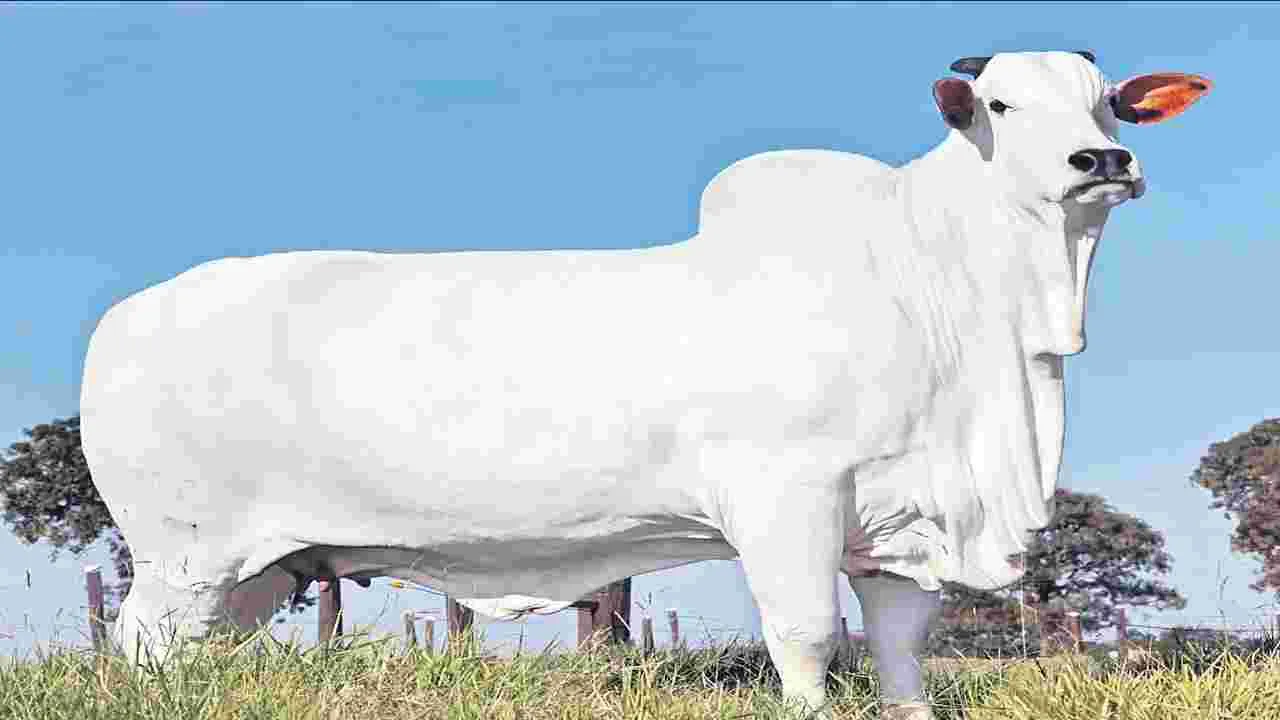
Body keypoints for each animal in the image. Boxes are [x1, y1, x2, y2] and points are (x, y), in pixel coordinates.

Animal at [79, 51, 1211, 719]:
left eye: (1109, 104)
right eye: (1000, 103)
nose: (1099, 160)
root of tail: (126, 318)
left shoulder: (901, 526)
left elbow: (898, 654)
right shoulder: (787, 498)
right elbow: (806, 639)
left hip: (258, 569)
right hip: (184, 559)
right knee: (140, 649)